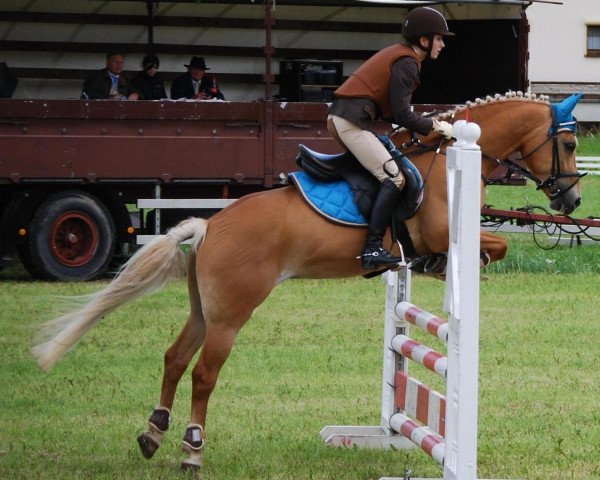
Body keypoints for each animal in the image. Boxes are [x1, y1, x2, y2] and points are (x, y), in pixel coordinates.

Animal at [31, 92, 580, 470]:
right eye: (572, 142)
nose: (572, 201)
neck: (448, 160)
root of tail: (211, 225)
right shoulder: (442, 232)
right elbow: (494, 246)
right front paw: (454, 268)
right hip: (232, 313)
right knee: (204, 373)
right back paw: (192, 449)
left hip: (204, 309)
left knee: (174, 358)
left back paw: (153, 433)